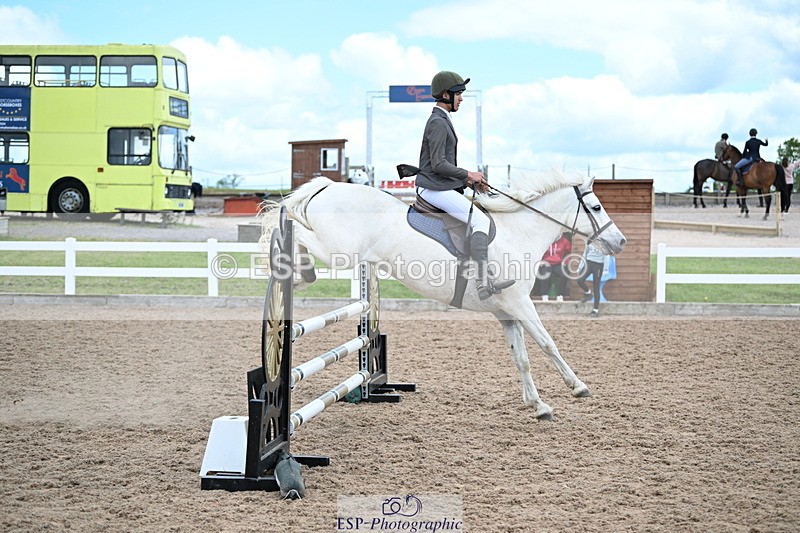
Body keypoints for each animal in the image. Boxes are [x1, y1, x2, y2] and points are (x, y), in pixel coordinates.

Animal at [259, 170, 627, 420]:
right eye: (596, 207)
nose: (621, 242)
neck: (519, 233)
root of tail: (330, 185)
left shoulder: (507, 312)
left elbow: (521, 357)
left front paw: (537, 405)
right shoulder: (521, 304)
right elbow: (548, 343)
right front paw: (577, 386)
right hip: (339, 250)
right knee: (293, 227)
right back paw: (290, 261)